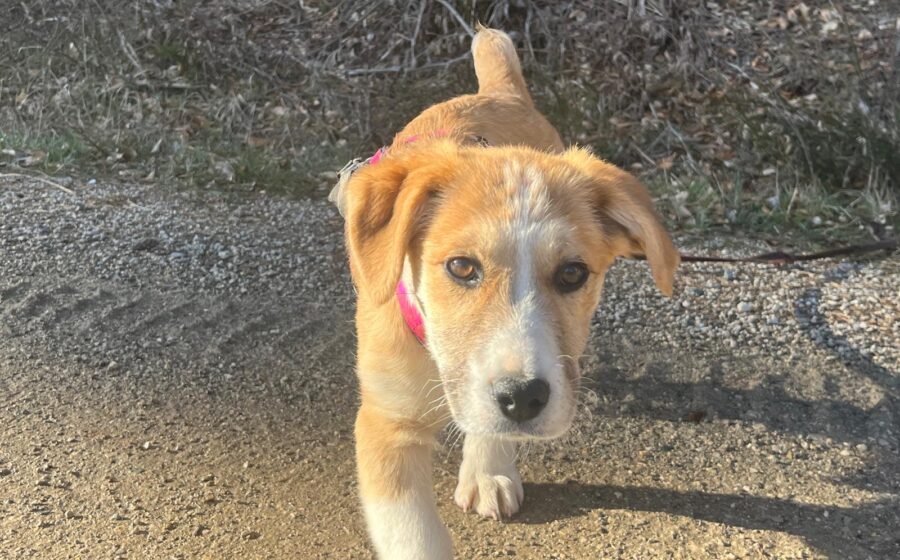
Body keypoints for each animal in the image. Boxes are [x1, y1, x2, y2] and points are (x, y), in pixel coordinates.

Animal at [331, 26, 678, 560]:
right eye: (461, 267)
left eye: (573, 273)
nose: (523, 398)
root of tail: (498, 92)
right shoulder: (385, 425)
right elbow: (415, 537)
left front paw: (490, 465)